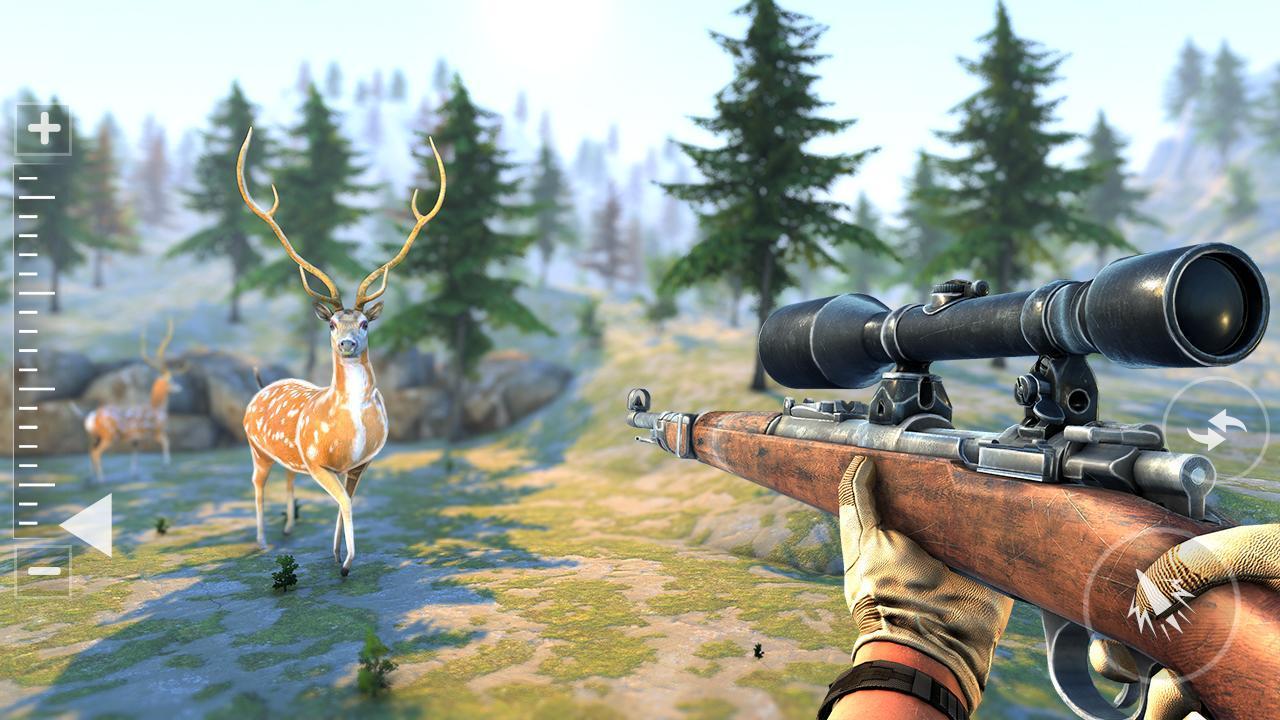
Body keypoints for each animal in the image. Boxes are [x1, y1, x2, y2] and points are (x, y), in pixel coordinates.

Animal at [84, 318, 183, 482]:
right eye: (172, 381)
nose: (180, 388)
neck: (158, 409)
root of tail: (91, 418)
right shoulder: (155, 431)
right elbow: (166, 442)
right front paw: (166, 465)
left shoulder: (136, 440)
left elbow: (135, 458)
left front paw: (134, 474)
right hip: (109, 436)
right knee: (96, 454)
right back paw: (101, 479)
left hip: (96, 436)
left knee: (90, 452)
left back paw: (91, 477)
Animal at [236, 127, 445, 576]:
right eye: (332, 324)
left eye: (365, 323)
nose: (347, 343)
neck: (349, 433)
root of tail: (260, 388)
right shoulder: (317, 459)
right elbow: (345, 502)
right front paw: (347, 561)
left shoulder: (360, 462)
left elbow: (346, 500)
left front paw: (336, 554)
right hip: (256, 447)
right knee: (257, 484)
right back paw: (261, 539)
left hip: (285, 458)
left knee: (288, 478)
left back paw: (288, 529)